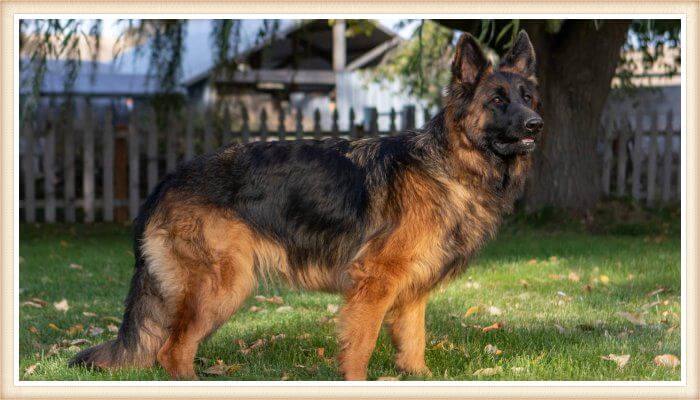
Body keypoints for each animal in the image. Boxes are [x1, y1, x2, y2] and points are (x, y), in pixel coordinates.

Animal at [69, 30, 540, 378]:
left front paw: (416, 376)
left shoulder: (411, 290)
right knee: (172, 350)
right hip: (224, 284)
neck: (450, 164)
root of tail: (167, 179)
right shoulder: (375, 281)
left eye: (527, 98)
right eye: (498, 100)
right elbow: (361, 345)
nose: (536, 123)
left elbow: (413, 343)